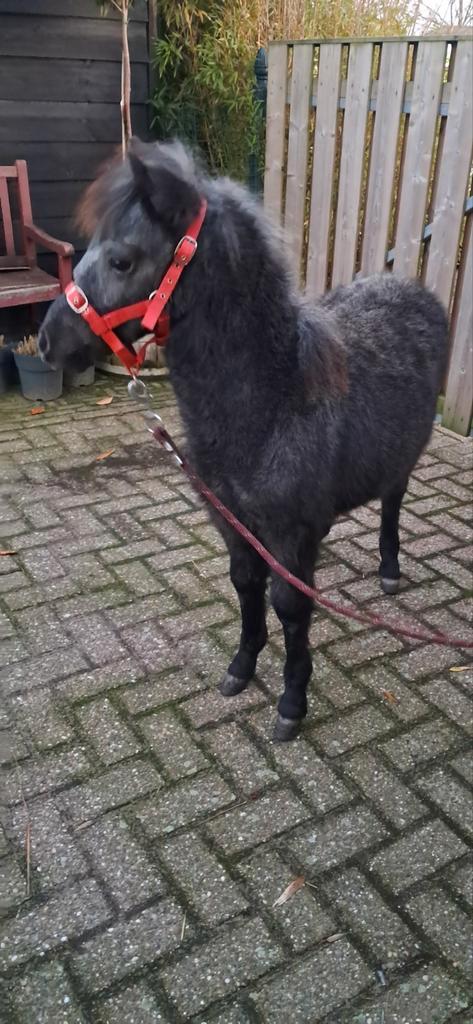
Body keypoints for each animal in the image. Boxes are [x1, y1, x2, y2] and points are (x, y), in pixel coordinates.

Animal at [38, 139, 449, 741]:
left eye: (123, 260)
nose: (47, 342)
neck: (274, 398)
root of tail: (414, 288)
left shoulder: (290, 535)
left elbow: (290, 606)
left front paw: (292, 701)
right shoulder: (233, 522)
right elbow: (246, 586)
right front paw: (242, 667)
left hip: (405, 456)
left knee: (393, 501)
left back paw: (390, 570)